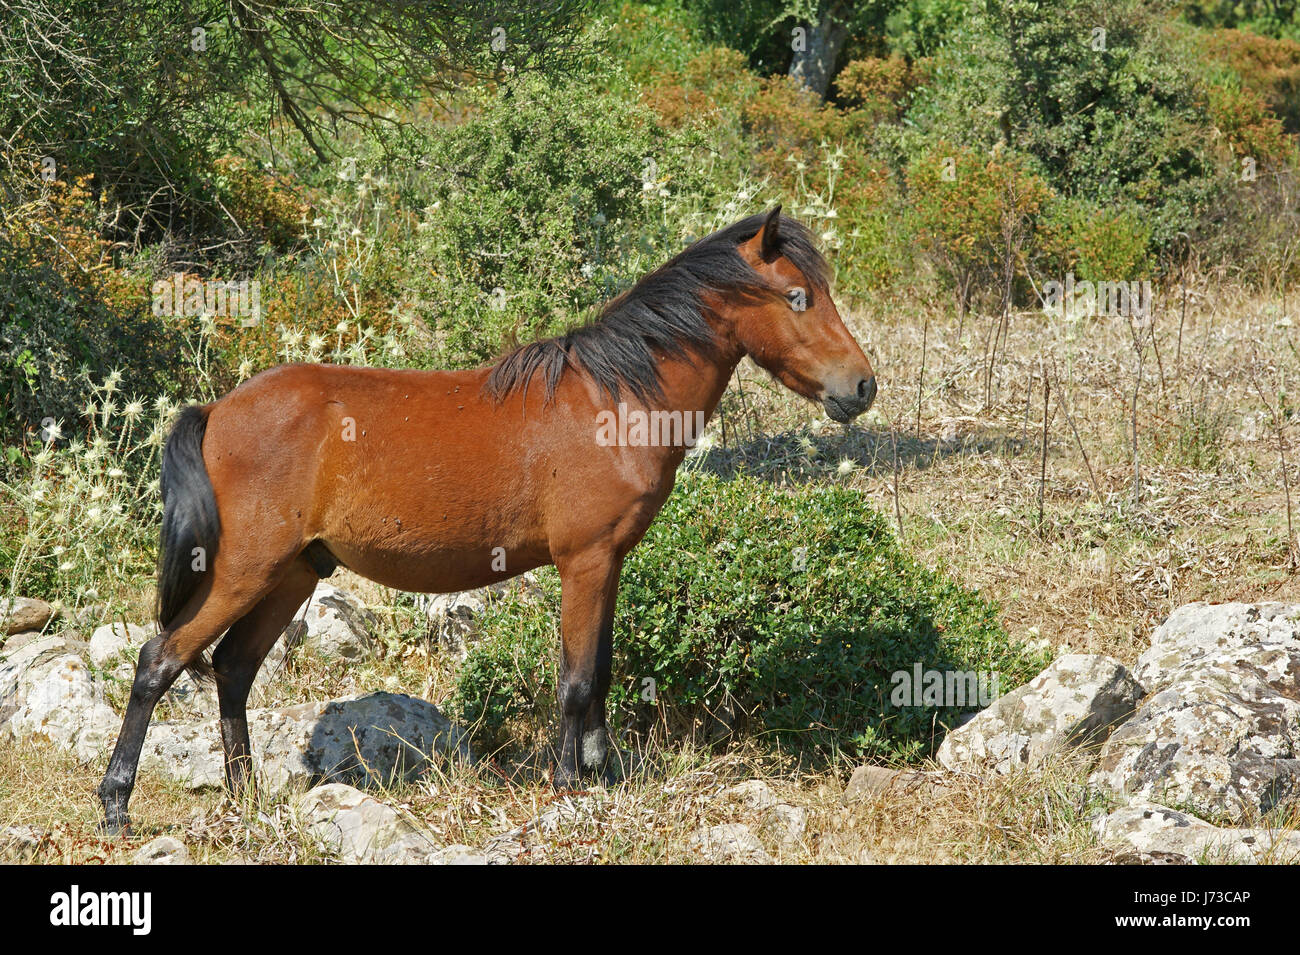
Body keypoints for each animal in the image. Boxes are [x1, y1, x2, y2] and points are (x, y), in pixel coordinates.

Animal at [96, 205, 878, 831]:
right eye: (798, 296)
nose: (862, 386)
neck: (614, 398)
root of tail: (219, 409)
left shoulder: (609, 561)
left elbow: (602, 670)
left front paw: (602, 775)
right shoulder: (583, 561)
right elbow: (576, 681)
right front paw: (568, 785)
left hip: (292, 573)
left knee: (231, 669)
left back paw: (244, 798)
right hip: (244, 569)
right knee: (159, 660)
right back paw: (116, 804)